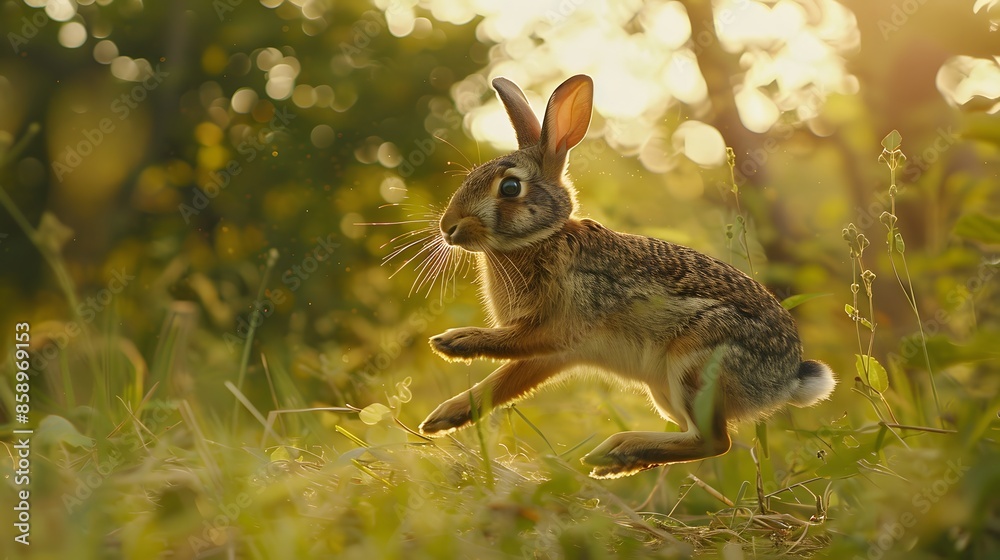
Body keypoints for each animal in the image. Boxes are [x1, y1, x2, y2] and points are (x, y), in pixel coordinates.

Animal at [416, 74, 836, 479]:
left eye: (509, 187)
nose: (447, 227)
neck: (545, 239)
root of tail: (788, 377)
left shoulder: (557, 327)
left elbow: (506, 345)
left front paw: (455, 342)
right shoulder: (553, 354)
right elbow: (497, 385)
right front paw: (442, 419)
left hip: (696, 363)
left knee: (716, 442)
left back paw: (617, 450)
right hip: (666, 392)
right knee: (701, 438)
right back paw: (618, 458)